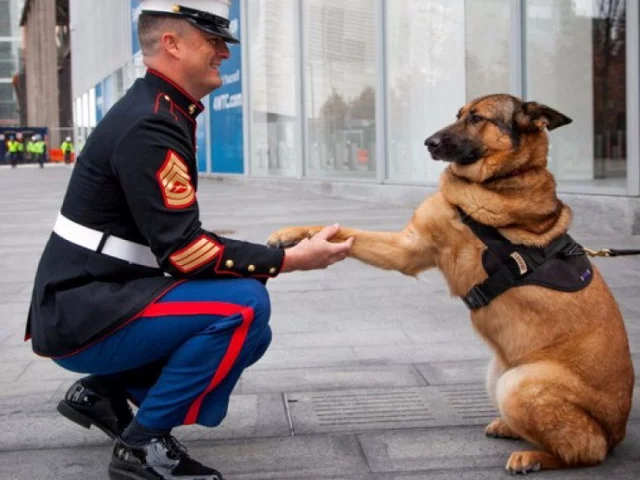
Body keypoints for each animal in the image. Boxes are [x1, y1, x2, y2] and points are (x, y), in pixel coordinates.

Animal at [266, 94, 636, 476]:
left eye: (476, 118)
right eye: (457, 114)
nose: (428, 142)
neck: (500, 179)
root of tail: (617, 431)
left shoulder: (410, 250)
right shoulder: (407, 248)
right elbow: (343, 231)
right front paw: (292, 235)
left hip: (519, 384)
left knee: (584, 450)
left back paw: (533, 457)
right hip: (497, 374)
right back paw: (510, 429)